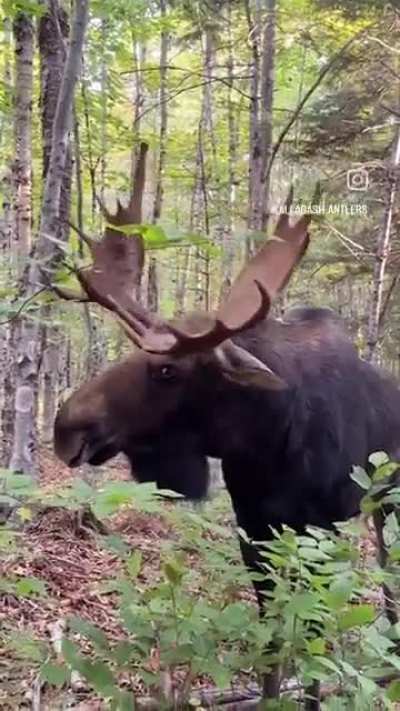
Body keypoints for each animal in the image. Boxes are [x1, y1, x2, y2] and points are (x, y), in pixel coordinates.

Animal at [53, 144, 400, 709]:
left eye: (166, 370)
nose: (65, 427)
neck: (268, 441)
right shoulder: (254, 528)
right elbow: (273, 639)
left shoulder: (319, 528)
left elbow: (313, 636)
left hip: (386, 500)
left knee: (389, 570)